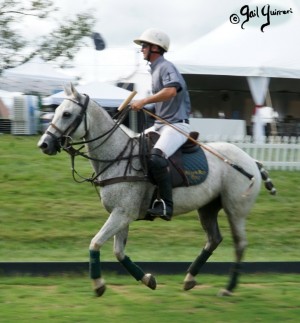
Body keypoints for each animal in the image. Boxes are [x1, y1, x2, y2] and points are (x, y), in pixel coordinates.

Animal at [38, 84, 276, 298]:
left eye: (67, 114)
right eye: (55, 111)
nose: (44, 144)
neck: (116, 156)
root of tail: (252, 161)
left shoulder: (122, 213)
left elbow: (95, 242)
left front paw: (98, 284)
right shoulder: (122, 213)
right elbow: (119, 252)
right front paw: (148, 279)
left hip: (235, 208)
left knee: (240, 243)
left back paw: (228, 288)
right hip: (208, 207)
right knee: (214, 239)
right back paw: (190, 278)